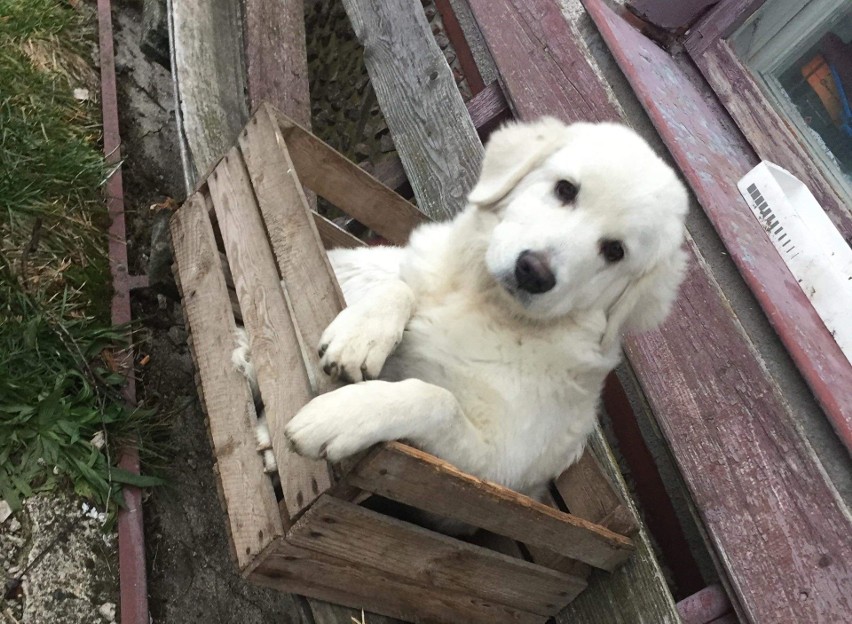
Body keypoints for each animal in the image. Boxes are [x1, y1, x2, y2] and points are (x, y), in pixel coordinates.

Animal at [256, 118, 688, 502]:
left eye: (615, 251)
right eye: (566, 189)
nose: (533, 272)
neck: (486, 303)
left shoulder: (493, 465)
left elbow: (436, 398)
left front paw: (342, 416)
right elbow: (401, 287)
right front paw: (361, 335)